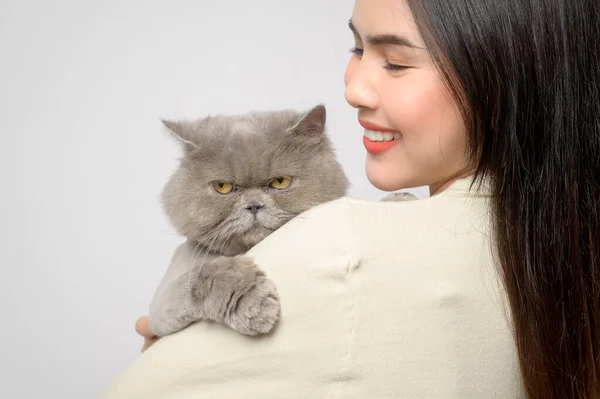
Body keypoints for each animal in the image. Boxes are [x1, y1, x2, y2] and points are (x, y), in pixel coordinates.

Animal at [147, 104, 350, 336]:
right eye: (222, 187)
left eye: (280, 182)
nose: (254, 206)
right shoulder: (161, 303)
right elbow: (202, 275)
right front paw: (254, 302)